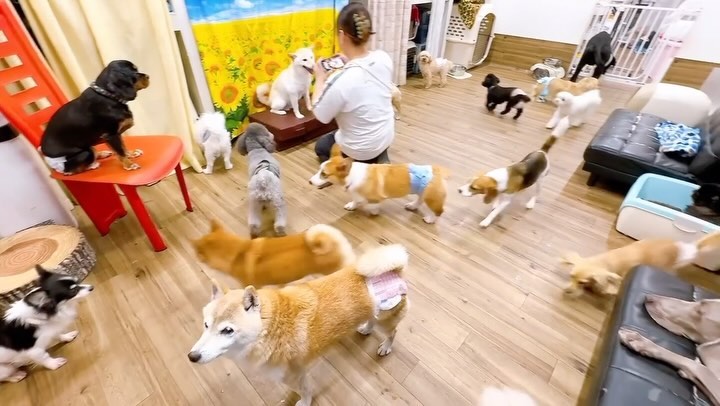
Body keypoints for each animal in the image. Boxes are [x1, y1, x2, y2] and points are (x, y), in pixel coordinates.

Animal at [187, 244, 409, 406]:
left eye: (227, 330)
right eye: (206, 325)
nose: (192, 356)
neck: (269, 331)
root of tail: (395, 270)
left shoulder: (296, 376)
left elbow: (305, 391)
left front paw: (304, 402)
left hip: (386, 320)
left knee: (393, 331)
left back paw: (385, 347)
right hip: (375, 312)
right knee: (372, 319)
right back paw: (367, 328)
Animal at [309, 144, 450, 224]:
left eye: (324, 174)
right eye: (319, 169)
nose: (309, 181)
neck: (351, 176)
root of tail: (437, 170)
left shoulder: (374, 198)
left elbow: (370, 205)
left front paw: (372, 210)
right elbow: (355, 200)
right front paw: (352, 205)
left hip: (432, 199)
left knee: (439, 211)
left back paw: (430, 219)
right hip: (422, 193)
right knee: (419, 201)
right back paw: (412, 206)